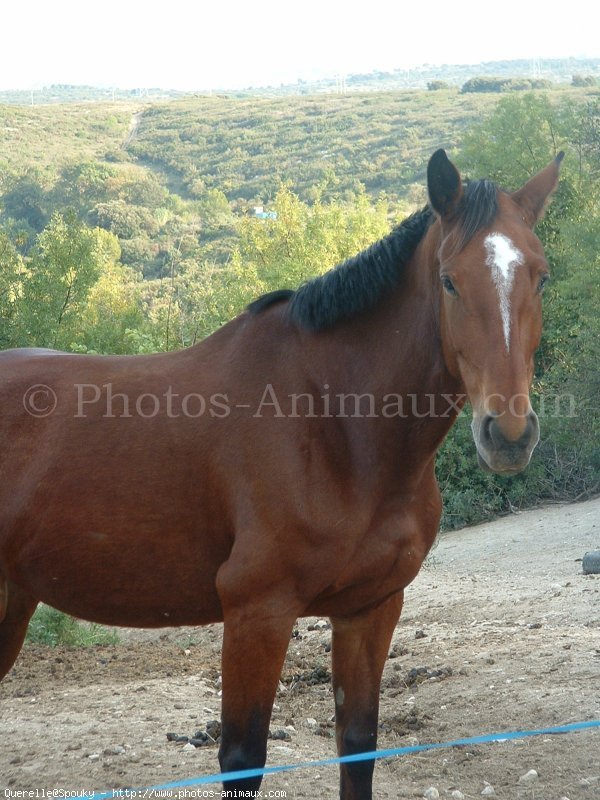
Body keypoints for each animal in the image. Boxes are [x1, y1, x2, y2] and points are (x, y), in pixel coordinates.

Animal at [0, 148, 564, 792]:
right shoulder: (258, 614)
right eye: (449, 279)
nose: (509, 435)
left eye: (540, 276)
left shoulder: (369, 610)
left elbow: (357, 746)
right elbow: (243, 758)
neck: (332, 422)